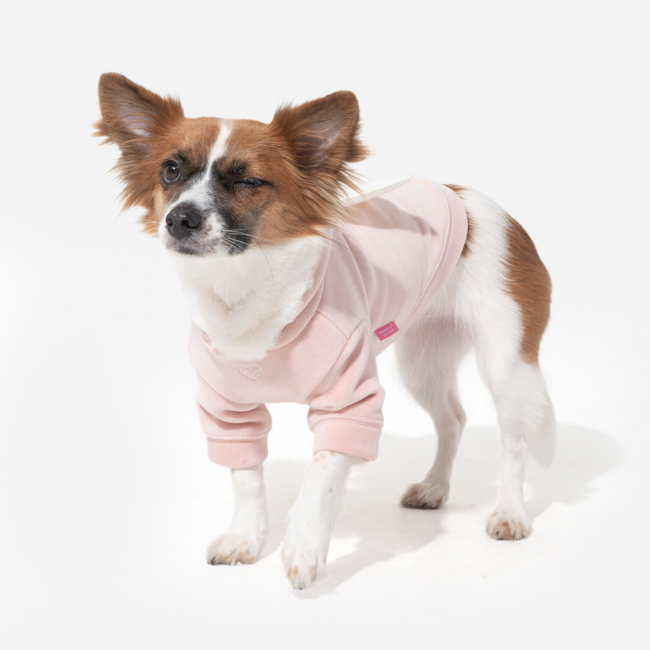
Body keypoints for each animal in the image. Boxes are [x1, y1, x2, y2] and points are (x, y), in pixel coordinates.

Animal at [96, 73, 555, 590]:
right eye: (170, 171)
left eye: (249, 181)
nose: (180, 218)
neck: (245, 283)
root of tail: (472, 199)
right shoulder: (227, 410)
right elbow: (246, 478)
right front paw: (245, 538)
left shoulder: (351, 401)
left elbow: (321, 474)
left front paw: (303, 548)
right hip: (423, 363)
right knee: (452, 418)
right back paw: (435, 487)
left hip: (506, 362)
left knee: (513, 440)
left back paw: (510, 511)